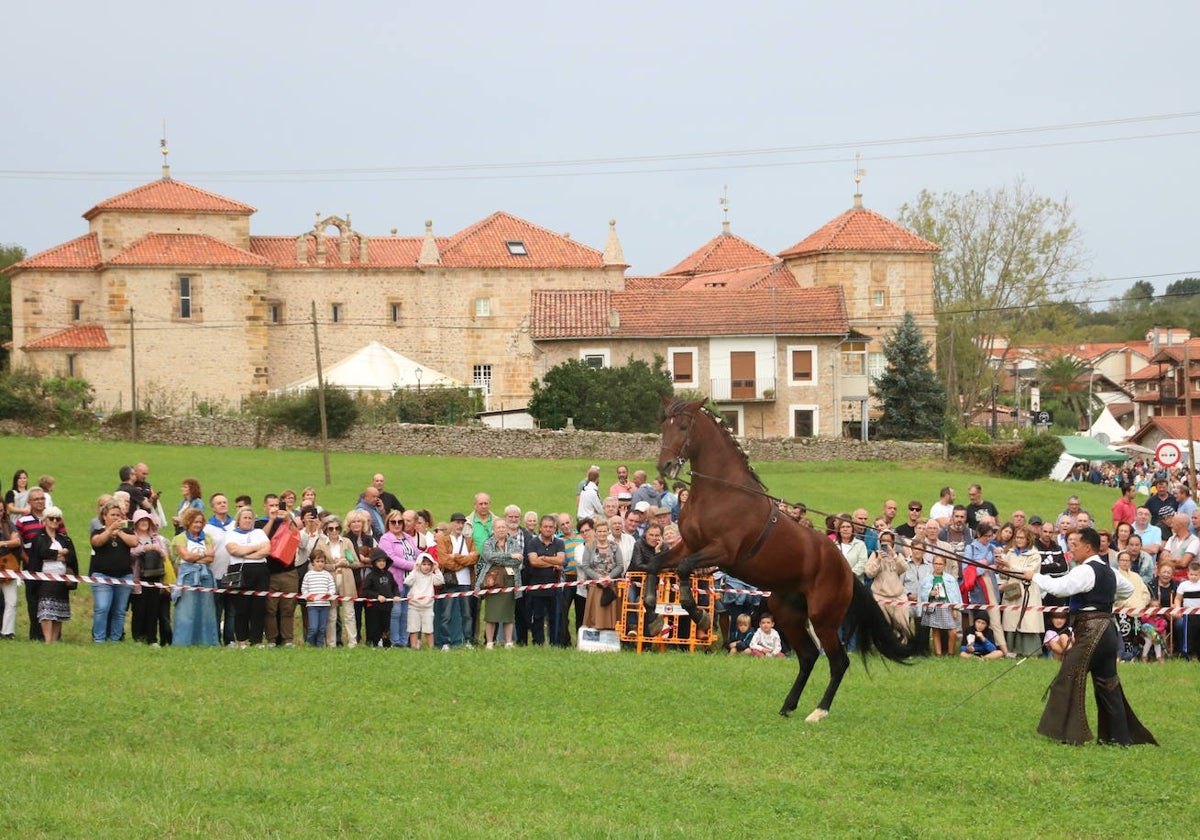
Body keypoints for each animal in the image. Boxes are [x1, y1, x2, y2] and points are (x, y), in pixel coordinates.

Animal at [648, 398, 907, 720]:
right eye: (664, 426)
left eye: (683, 426)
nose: (665, 466)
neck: (721, 492)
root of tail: (846, 570)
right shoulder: (688, 546)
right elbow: (652, 566)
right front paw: (653, 616)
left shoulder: (722, 552)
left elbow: (683, 570)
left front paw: (699, 615)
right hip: (787, 612)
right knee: (808, 655)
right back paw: (788, 705)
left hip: (823, 619)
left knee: (838, 662)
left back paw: (819, 712)